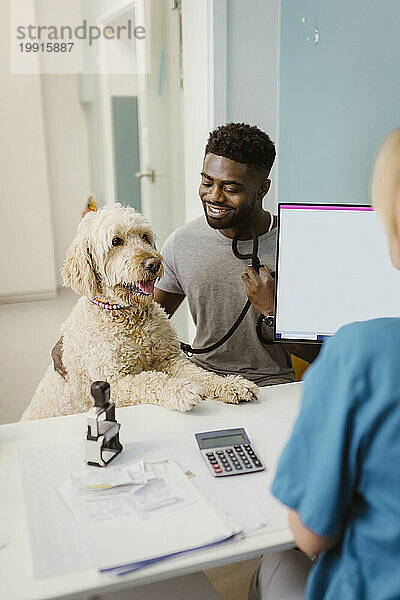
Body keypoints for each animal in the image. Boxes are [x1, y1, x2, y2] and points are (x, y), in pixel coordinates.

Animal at [21, 204, 258, 420]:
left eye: (144, 236)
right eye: (116, 241)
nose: (154, 263)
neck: (129, 315)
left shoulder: (169, 359)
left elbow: (200, 373)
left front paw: (229, 384)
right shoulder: (113, 382)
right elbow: (151, 380)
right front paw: (182, 390)